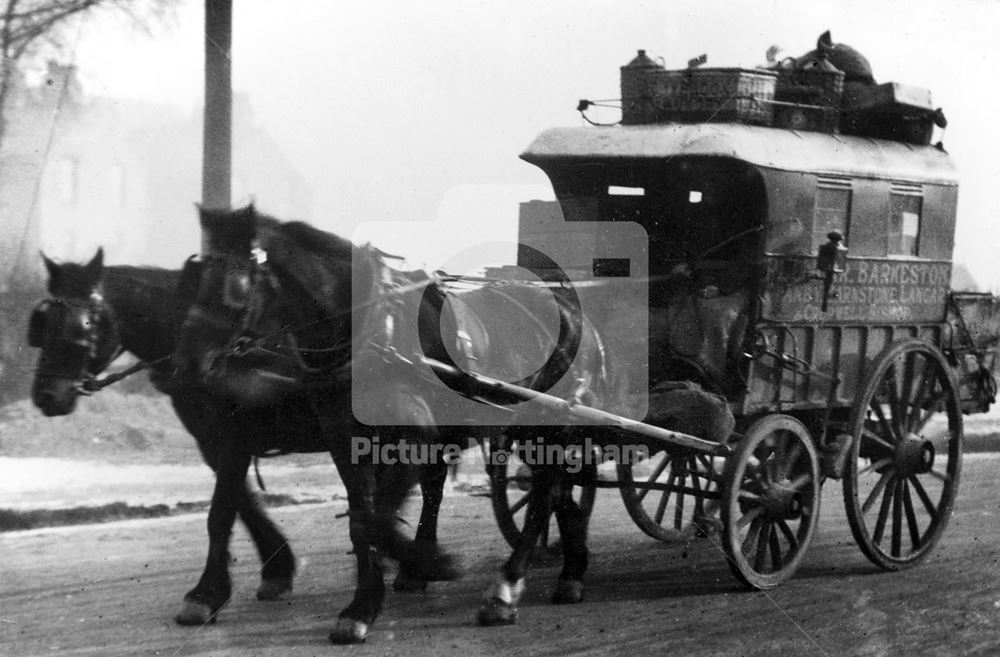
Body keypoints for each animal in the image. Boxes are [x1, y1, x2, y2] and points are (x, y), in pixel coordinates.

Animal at [27, 245, 452, 632]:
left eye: (80, 327)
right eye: (41, 326)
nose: (45, 396)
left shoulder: (234, 437)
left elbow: (220, 512)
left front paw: (205, 593)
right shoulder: (213, 441)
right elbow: (239, 502)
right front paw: (275, 569)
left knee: (428, 485)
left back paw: (411, 563)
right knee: (419, 483)